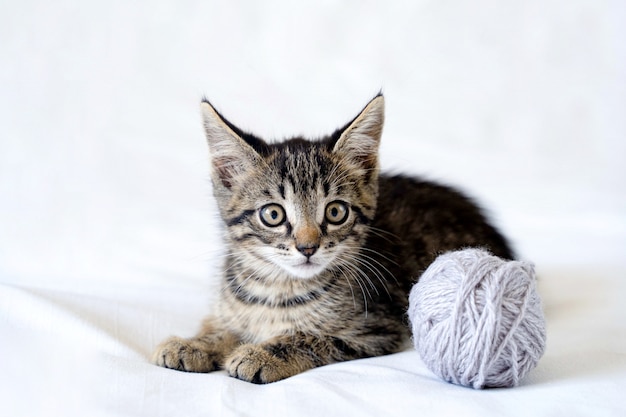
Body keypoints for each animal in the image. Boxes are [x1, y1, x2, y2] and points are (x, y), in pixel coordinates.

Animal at [152, 94, 512, 384]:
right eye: (273, 214)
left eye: (336, 211)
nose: (307, 247)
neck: (276, 289)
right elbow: (221, 327)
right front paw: (196, 343)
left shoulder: (377, 328)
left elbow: (312, 337)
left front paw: (262, 354)